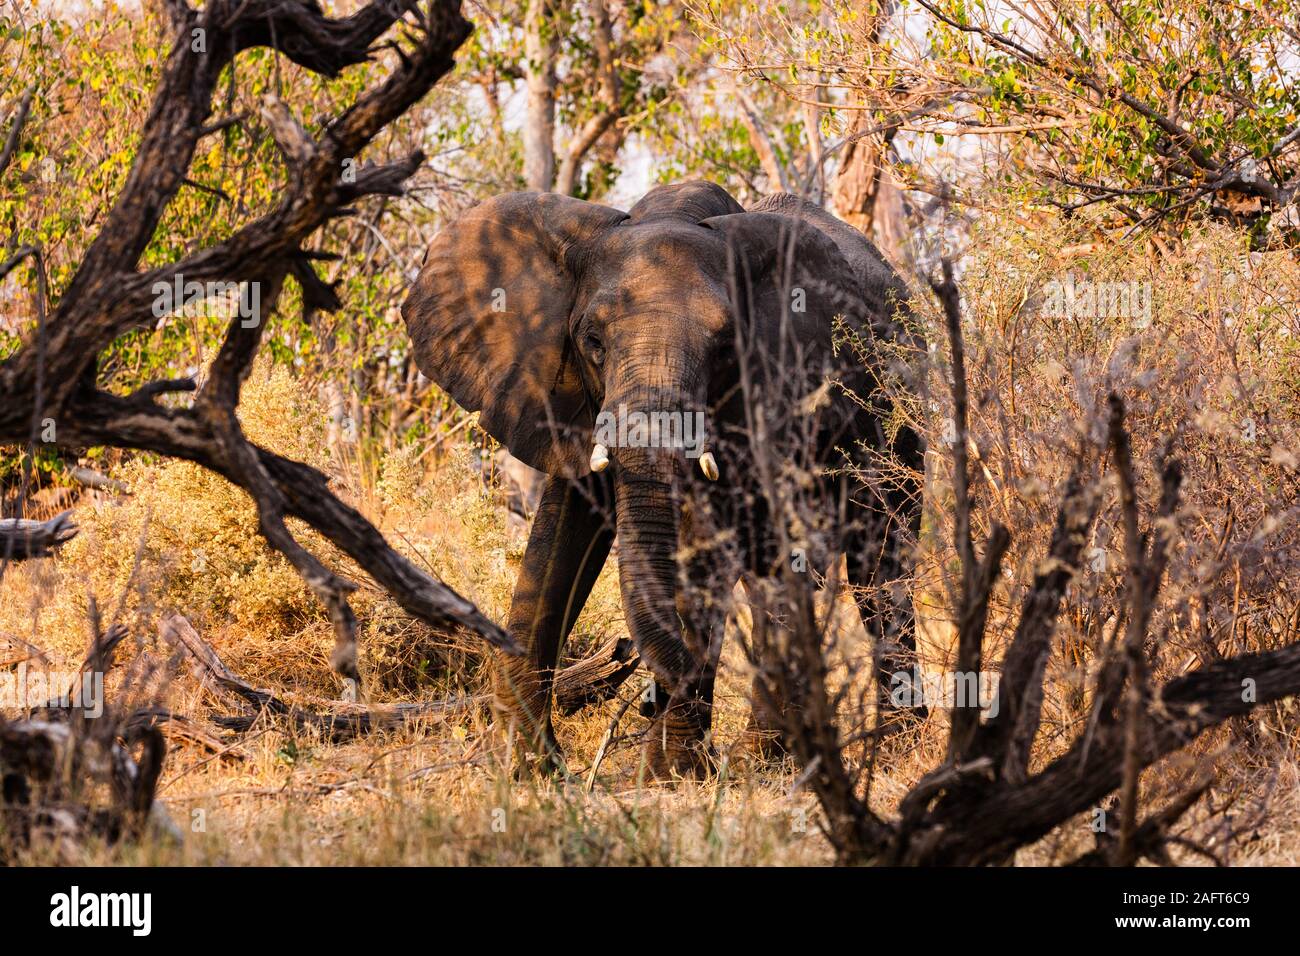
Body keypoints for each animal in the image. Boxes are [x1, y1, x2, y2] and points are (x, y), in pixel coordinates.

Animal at [400, 181, 924, 778]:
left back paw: (866, 750)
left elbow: (707, 550)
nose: (641, 685)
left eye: (724, 348)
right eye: (593, 340)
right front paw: (525, 766)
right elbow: (559, 537)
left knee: (879, 567)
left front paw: (669, 773)